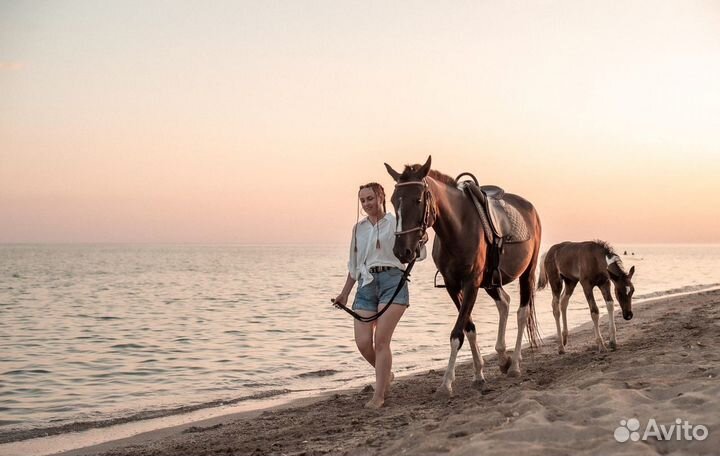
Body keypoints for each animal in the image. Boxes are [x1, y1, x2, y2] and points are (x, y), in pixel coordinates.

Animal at [386, 157, 544, 396]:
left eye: (418, 200)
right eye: (394, 201)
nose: (401, 251)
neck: (457, 229)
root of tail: (530, 209)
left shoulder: (471, 284)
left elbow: (456, 334)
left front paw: (446, 383)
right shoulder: (453, 286)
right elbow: (469, 328)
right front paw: (478, 374)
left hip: (527, 273)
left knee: (521, 313)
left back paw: (515, 364)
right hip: (491, 282)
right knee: (504, 303)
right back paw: (502, 357)